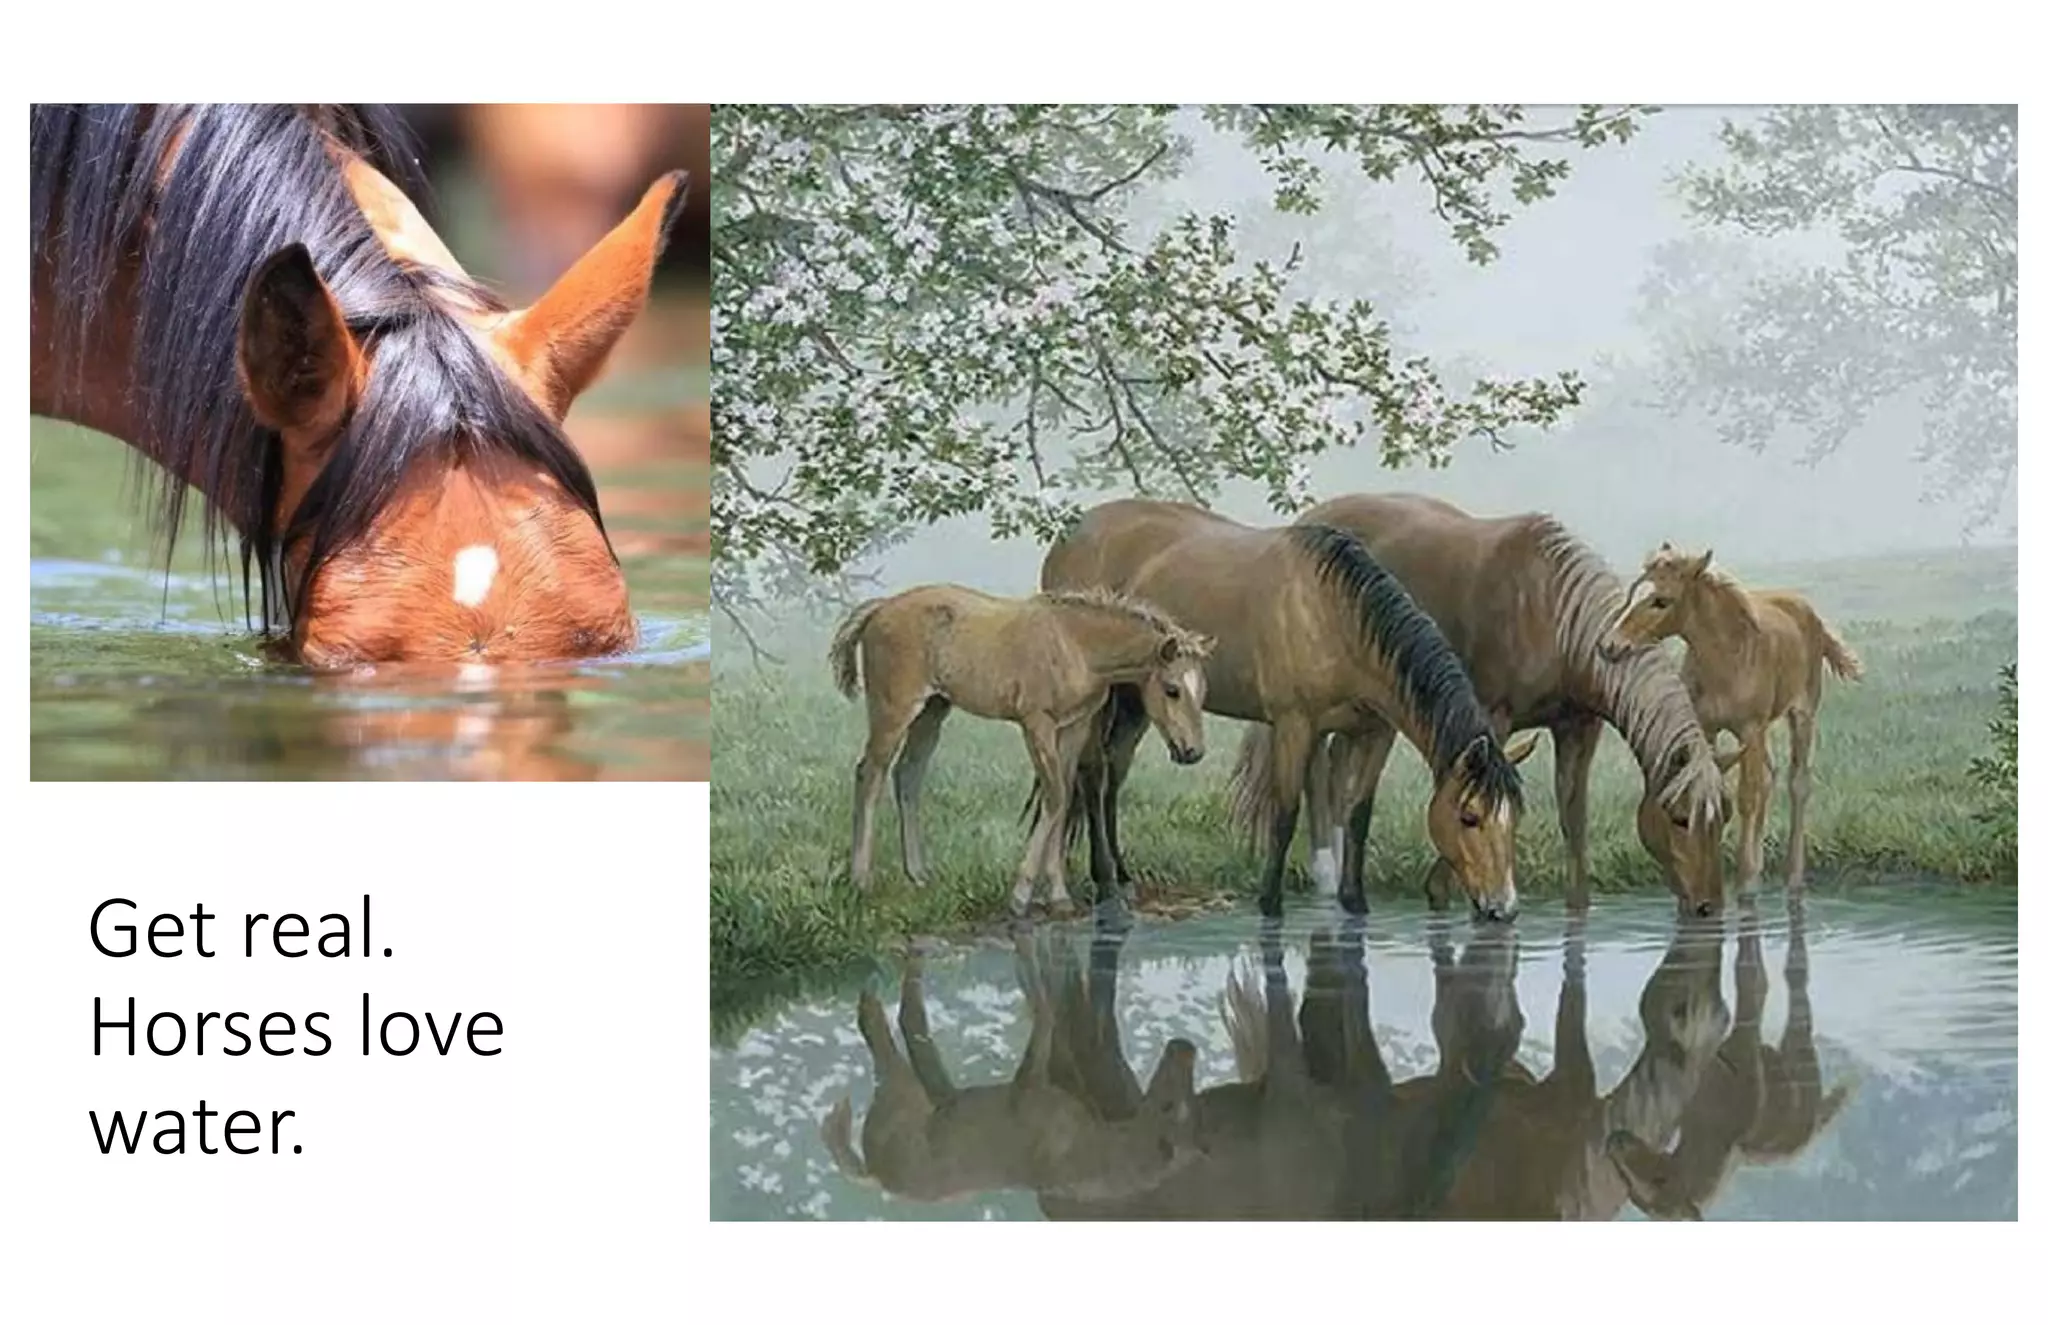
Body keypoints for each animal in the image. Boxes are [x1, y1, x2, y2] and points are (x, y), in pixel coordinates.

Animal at [827, 584, 1211, 915]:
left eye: (1202, 692)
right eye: (1172, 689)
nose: (1193, 752)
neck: (1075, 644)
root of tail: (880, 608)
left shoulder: (1074, 727)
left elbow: (1064, 796)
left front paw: (1058, 896)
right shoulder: (1036, 724)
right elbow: (1054, 798)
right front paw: (1021, 894)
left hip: (933, 710)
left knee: (907, 775)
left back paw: (919, 874)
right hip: (894, 711)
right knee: (870, 773)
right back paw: (861, 879)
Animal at [1039, 499, 1537, 921]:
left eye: (1514, 817)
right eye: (1469, 816)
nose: (1504, 907)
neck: (1334, 617)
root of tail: (1070, 536)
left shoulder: (1375, 732)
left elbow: (1358, 814)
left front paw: (1354, 901)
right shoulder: (1295, 726)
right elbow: (1285, 813)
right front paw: (1270, 903)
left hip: (1138, 700)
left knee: (1113, 775)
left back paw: (1123, 875)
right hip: (1100, 700)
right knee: (1092, 775)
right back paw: (1105, 884)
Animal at [1227, 494, 1739, 917]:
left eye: (1724, 818)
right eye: (1679, 818)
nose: (1709, 906)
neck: (1552, 613)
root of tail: (1307, 520)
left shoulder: (1578, 728)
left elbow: (1572, 816)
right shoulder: (1493, 717)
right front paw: (1446, 890)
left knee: (1337, 770)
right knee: (1315, 769)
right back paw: (1325, 874)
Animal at [1600, 544, 1864, 889]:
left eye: (1662, 601)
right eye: (1633, 592)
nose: (1609, 645)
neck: (1726, 658)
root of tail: (1807, 610)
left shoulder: (1750, 728)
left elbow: (1746, 798)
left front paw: (1745, 882)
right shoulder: (1706, 728)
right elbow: (1707, 789)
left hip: (1801, 715)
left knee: (1797, 783)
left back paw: (1792, 876)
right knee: (1768, 775)